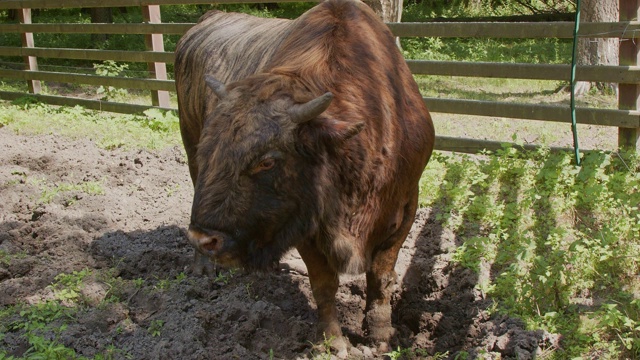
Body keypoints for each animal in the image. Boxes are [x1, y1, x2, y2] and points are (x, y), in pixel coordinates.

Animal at [175, 0, 436, 354]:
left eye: (267, 161)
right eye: (210, 149)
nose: (204, 239)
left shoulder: (404, 209)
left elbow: (381, 279)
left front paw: (381, 337)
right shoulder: (305, 225)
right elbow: (324, 284)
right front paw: (333, 341)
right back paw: (202, 268)